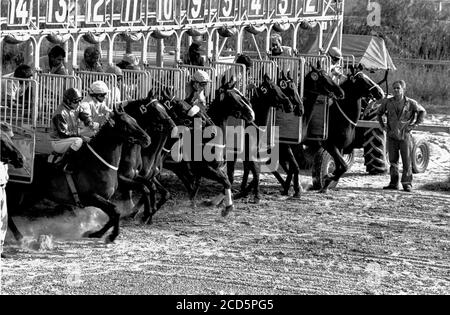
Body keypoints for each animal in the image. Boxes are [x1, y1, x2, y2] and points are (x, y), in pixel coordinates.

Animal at [7, 108, 151, 244]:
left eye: (135, 120)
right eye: (125, 123)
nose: (147, 139)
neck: (98, 163)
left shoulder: (103, 197)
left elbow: (114, 214)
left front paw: (95, 233)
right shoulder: (89, 197)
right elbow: (116, 211)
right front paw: (111, 235)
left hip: (30, 197)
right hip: (19, 196)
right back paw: (19, 237)